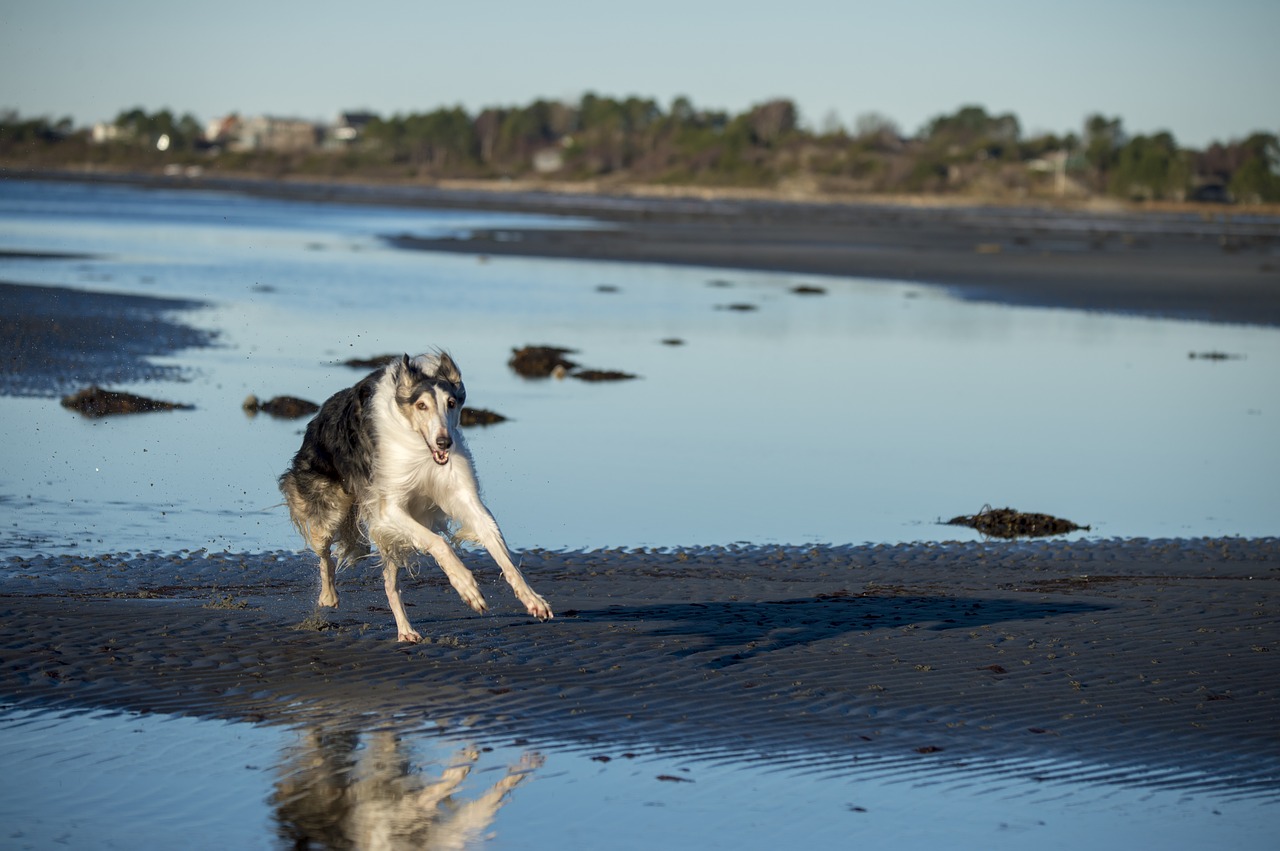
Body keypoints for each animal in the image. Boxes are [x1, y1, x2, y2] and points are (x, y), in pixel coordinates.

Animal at [280, 350, 550, 637]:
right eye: (422, 406)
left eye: (451, 403)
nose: (444, 443)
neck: (421, 448)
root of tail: (317, 418)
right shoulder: (388, 509)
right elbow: (439, 543)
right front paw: (467, 586)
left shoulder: (464, 498)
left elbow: (502, 551)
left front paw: (533, 599)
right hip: (331, 511)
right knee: (324, 556)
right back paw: (328, 596)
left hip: (390, 537)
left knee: (389, 583)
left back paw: (405, 631)